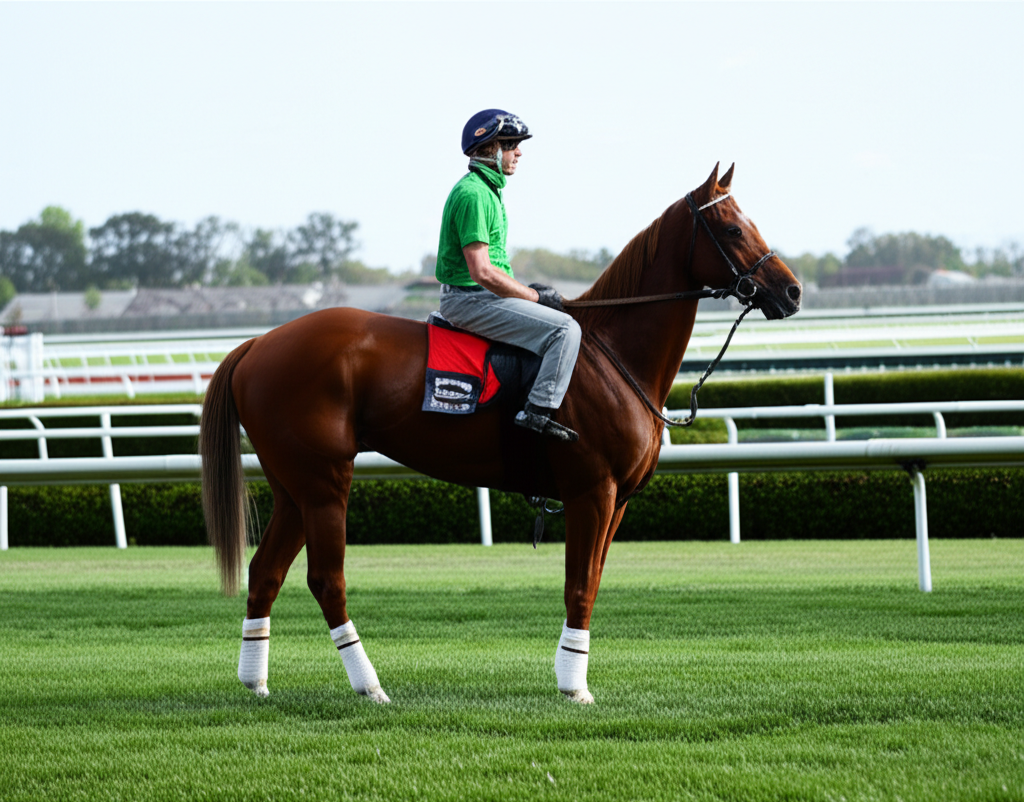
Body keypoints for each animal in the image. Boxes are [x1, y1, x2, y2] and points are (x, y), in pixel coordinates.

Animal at [200, 163, 802, 704]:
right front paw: (574, 687)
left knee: (265, 573)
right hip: (326, 484)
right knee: (327, 580)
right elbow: (580, 587)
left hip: (292, 489)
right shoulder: (592, 493)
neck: (609, 353)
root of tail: (257, 343)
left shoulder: (619, 501)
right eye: (733, 229)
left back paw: (256, 682)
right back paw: (370, 687)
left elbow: (593, 581)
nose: (792, 292)